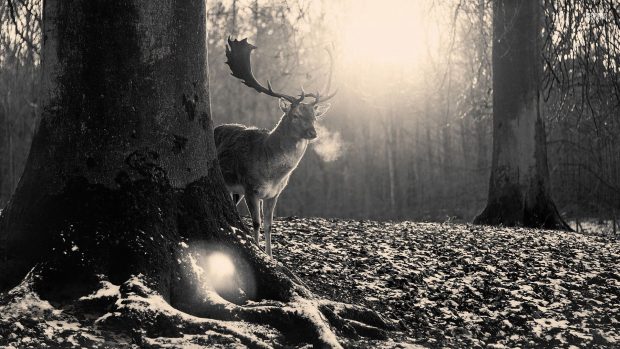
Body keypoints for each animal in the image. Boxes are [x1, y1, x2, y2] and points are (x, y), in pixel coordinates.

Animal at [216, 38, 336, 256]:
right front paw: (258, 250)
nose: (313, 133)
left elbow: (269, 225)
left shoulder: (274, 194)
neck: (272, 173)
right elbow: (256, 223)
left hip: (235, 190)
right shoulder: (250, 187)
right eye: (295, 115)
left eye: (314, 117)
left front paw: (271, 255)